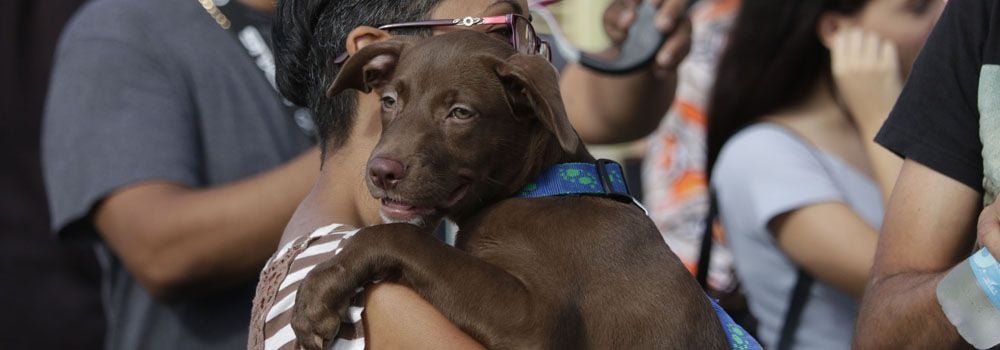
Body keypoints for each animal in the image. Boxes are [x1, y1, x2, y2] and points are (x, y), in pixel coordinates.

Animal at [292, 30, 728, 350]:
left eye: (460, 113)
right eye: (389, 101)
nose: (382, 172)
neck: (537, 188)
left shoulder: (535, 323)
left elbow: (402, 236)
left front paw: (316, 293)